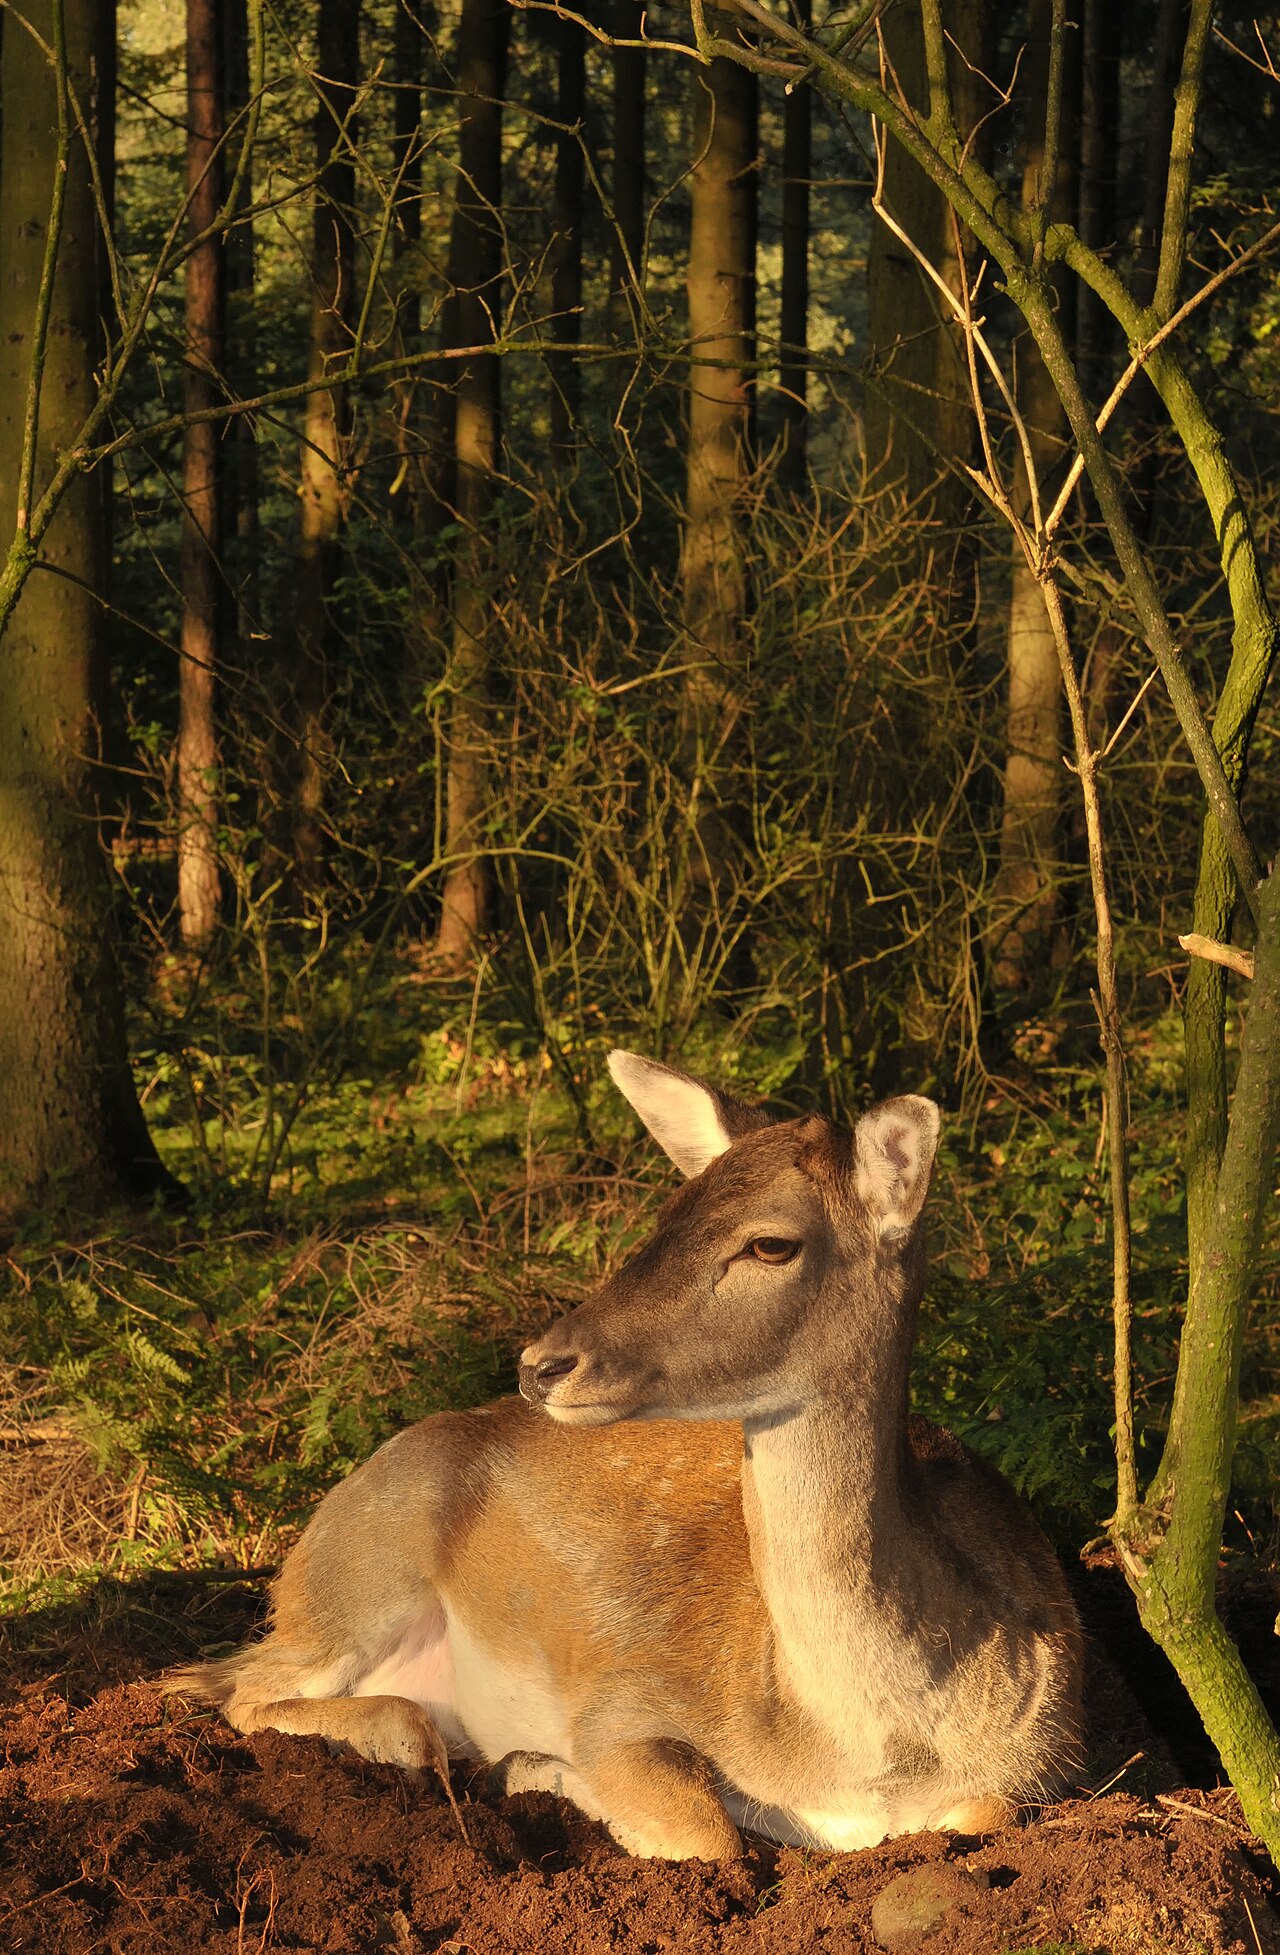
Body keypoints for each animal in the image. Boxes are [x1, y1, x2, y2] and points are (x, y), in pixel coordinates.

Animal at [171, 1051, 1083, 1860]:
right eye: (668, 1211)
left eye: (771, 1243)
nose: (541, 1363)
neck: (866, 1752)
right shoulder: (625, 1697)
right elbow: (706, 1827)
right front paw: (533, 1765)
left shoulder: (1040, 1767)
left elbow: (987, 1811)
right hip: (358, 1573)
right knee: (232, 1685)